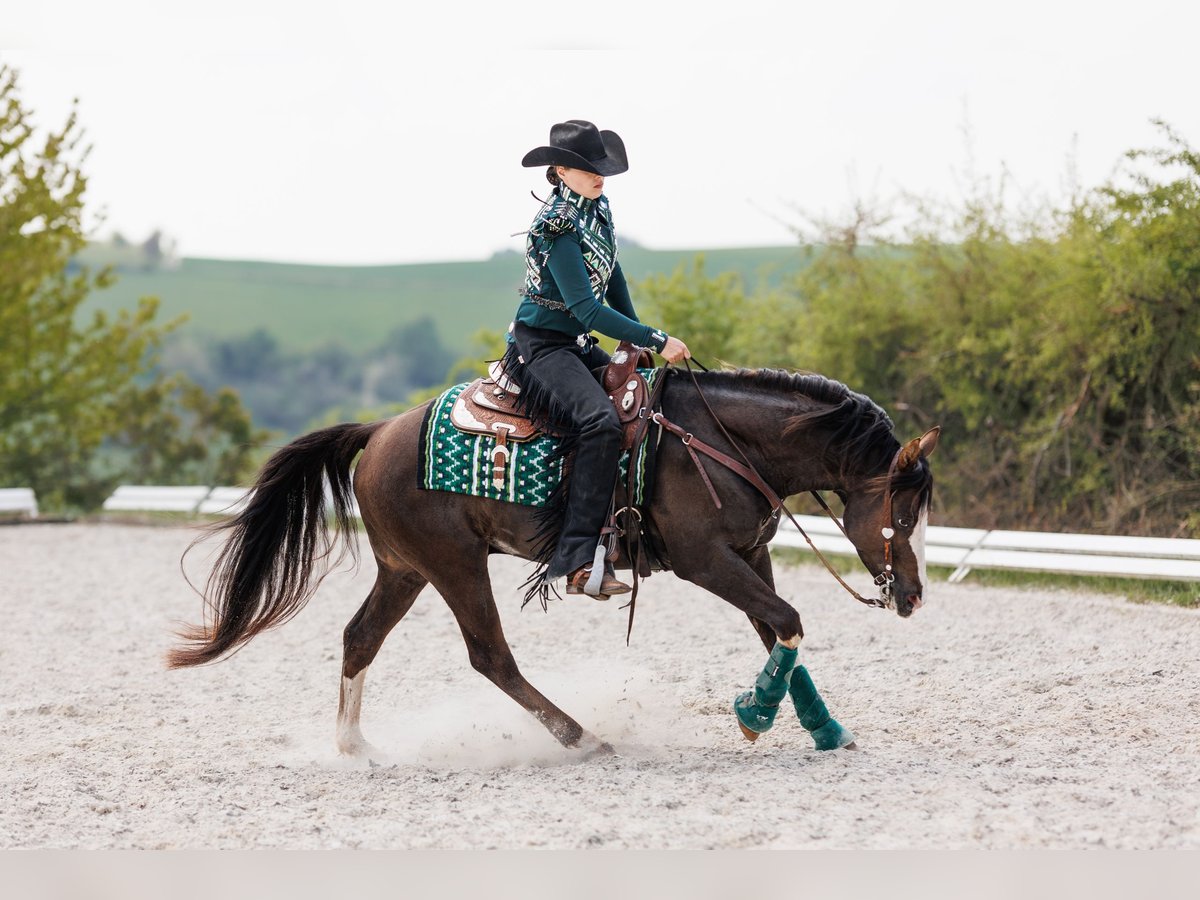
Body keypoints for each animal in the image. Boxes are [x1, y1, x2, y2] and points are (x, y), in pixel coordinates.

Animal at [166, 364, 936, 753]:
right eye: (903, 514)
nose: (912, 596)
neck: (717, 440)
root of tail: (381, 431)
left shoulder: (750, 554)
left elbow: (780, 629)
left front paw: (821, 727)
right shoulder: (705, 560)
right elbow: (790, 621)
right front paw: (755, 714)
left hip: (405, 569)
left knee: (360, 638)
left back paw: (356, 748)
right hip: (454, 564)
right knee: (490, 657)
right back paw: (583, 738)